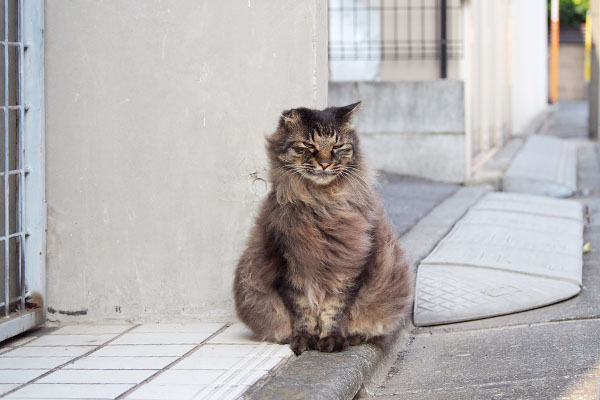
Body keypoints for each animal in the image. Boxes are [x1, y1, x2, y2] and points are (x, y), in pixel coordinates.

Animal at [233, 101, 412, 354]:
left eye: (337, 146)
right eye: (309, 146)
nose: (325, 163)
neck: (322, 204)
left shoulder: (348, 267)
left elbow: (334, 309)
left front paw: (332, 340)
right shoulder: (288, 265)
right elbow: (303, 311)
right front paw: (304, 340)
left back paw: (353, 337)